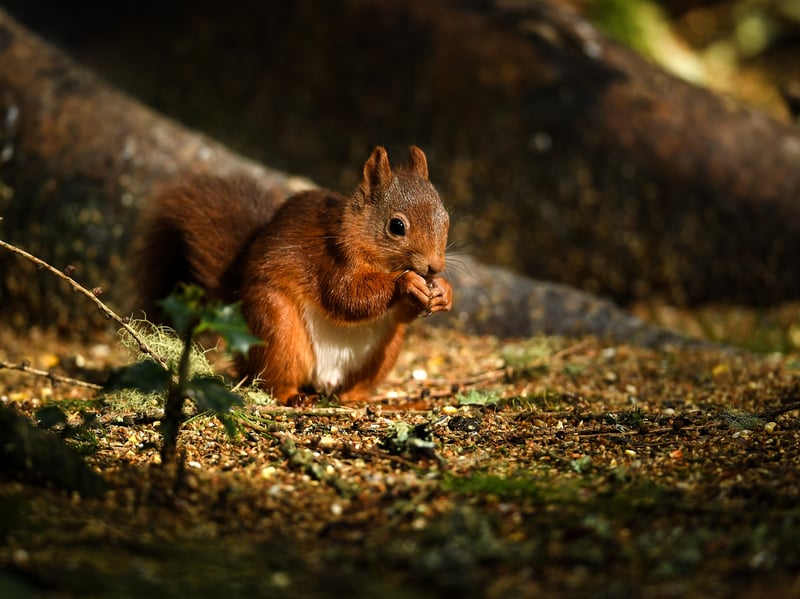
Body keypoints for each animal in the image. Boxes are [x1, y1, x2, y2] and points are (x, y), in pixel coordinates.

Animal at [130, 146, 453, 403]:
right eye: (397, 226)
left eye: (446, 219)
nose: (435, 267)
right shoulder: (331, 259)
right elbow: (346, 297)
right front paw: (407, 282)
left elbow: (398, 314)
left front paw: (444, 292)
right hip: (276, 327)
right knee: (273, 380)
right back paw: (293, 397)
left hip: (383, 352)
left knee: (352, 388)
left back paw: (364, 400)